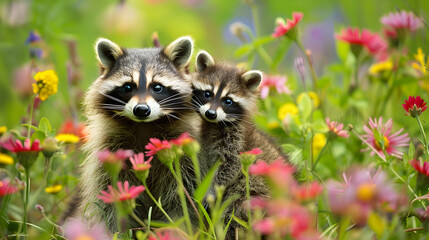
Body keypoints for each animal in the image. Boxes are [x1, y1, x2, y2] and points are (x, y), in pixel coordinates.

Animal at [75, 36, 199, 232]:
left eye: (157, 87)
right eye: (127, 87)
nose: (141, 110)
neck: (144, 125)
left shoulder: (182, 156)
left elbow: (181, 199)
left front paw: (175, 230)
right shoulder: (110, 150)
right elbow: (108, 198)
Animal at [191, 51, 288, 239]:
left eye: (228, 101)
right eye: (207, 93)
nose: (211, 113)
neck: (215, 124)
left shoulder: (238, 139)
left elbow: (230, 167)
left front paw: (212, 190)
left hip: (255, 190)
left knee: (236, 212)